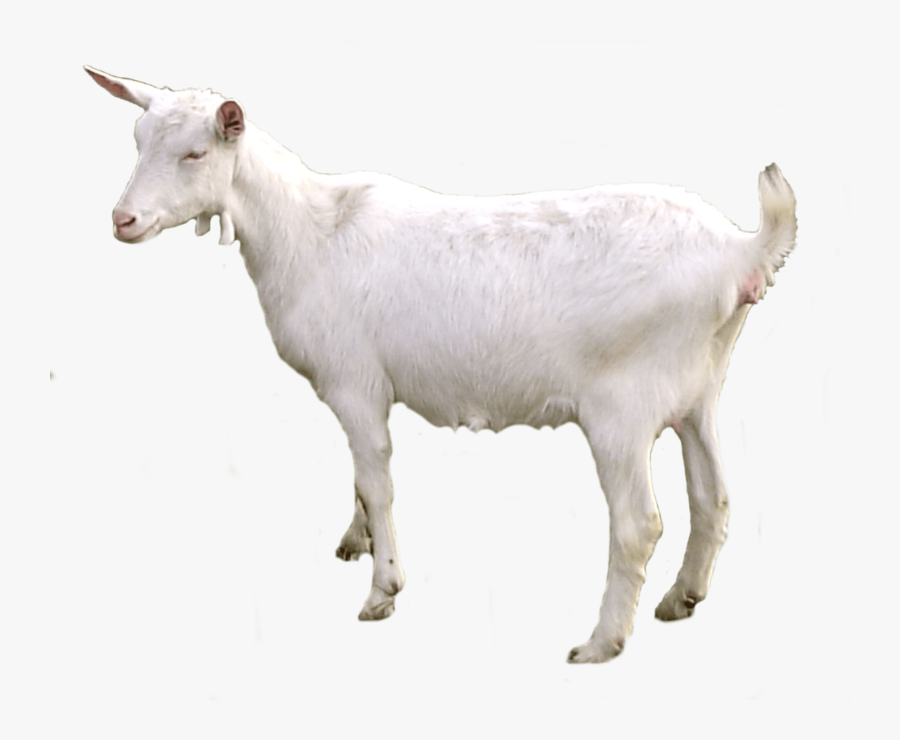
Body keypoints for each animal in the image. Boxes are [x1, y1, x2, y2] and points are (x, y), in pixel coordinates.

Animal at [85, 66, 797, 663]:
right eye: (137, 139)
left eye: (195, 154)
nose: (123, 220)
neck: (308, 231)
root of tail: (740, 251)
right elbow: (361, 478)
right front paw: (356, 541)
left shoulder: (355, 381)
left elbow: (377, 480)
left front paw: (383, 590)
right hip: (699, 391)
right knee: (714, 498)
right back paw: (681, 599)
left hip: (621, 407)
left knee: (638, 524)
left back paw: (600, 642)